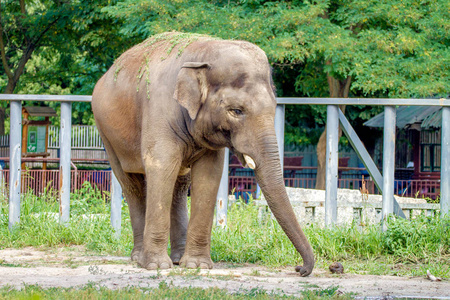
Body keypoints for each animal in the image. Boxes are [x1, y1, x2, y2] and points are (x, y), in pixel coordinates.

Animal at [92, 31, 312, 276]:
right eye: (236, 111)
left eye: (274, 108)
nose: (300, 268)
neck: (204, 50)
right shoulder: (158, 112)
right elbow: (161, 167)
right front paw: (156, 266)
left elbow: (208, 176)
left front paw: (197, 266)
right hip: (106, 134)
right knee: (132, 185)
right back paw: (140, 259)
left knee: (179, 187)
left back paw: (177, 259)